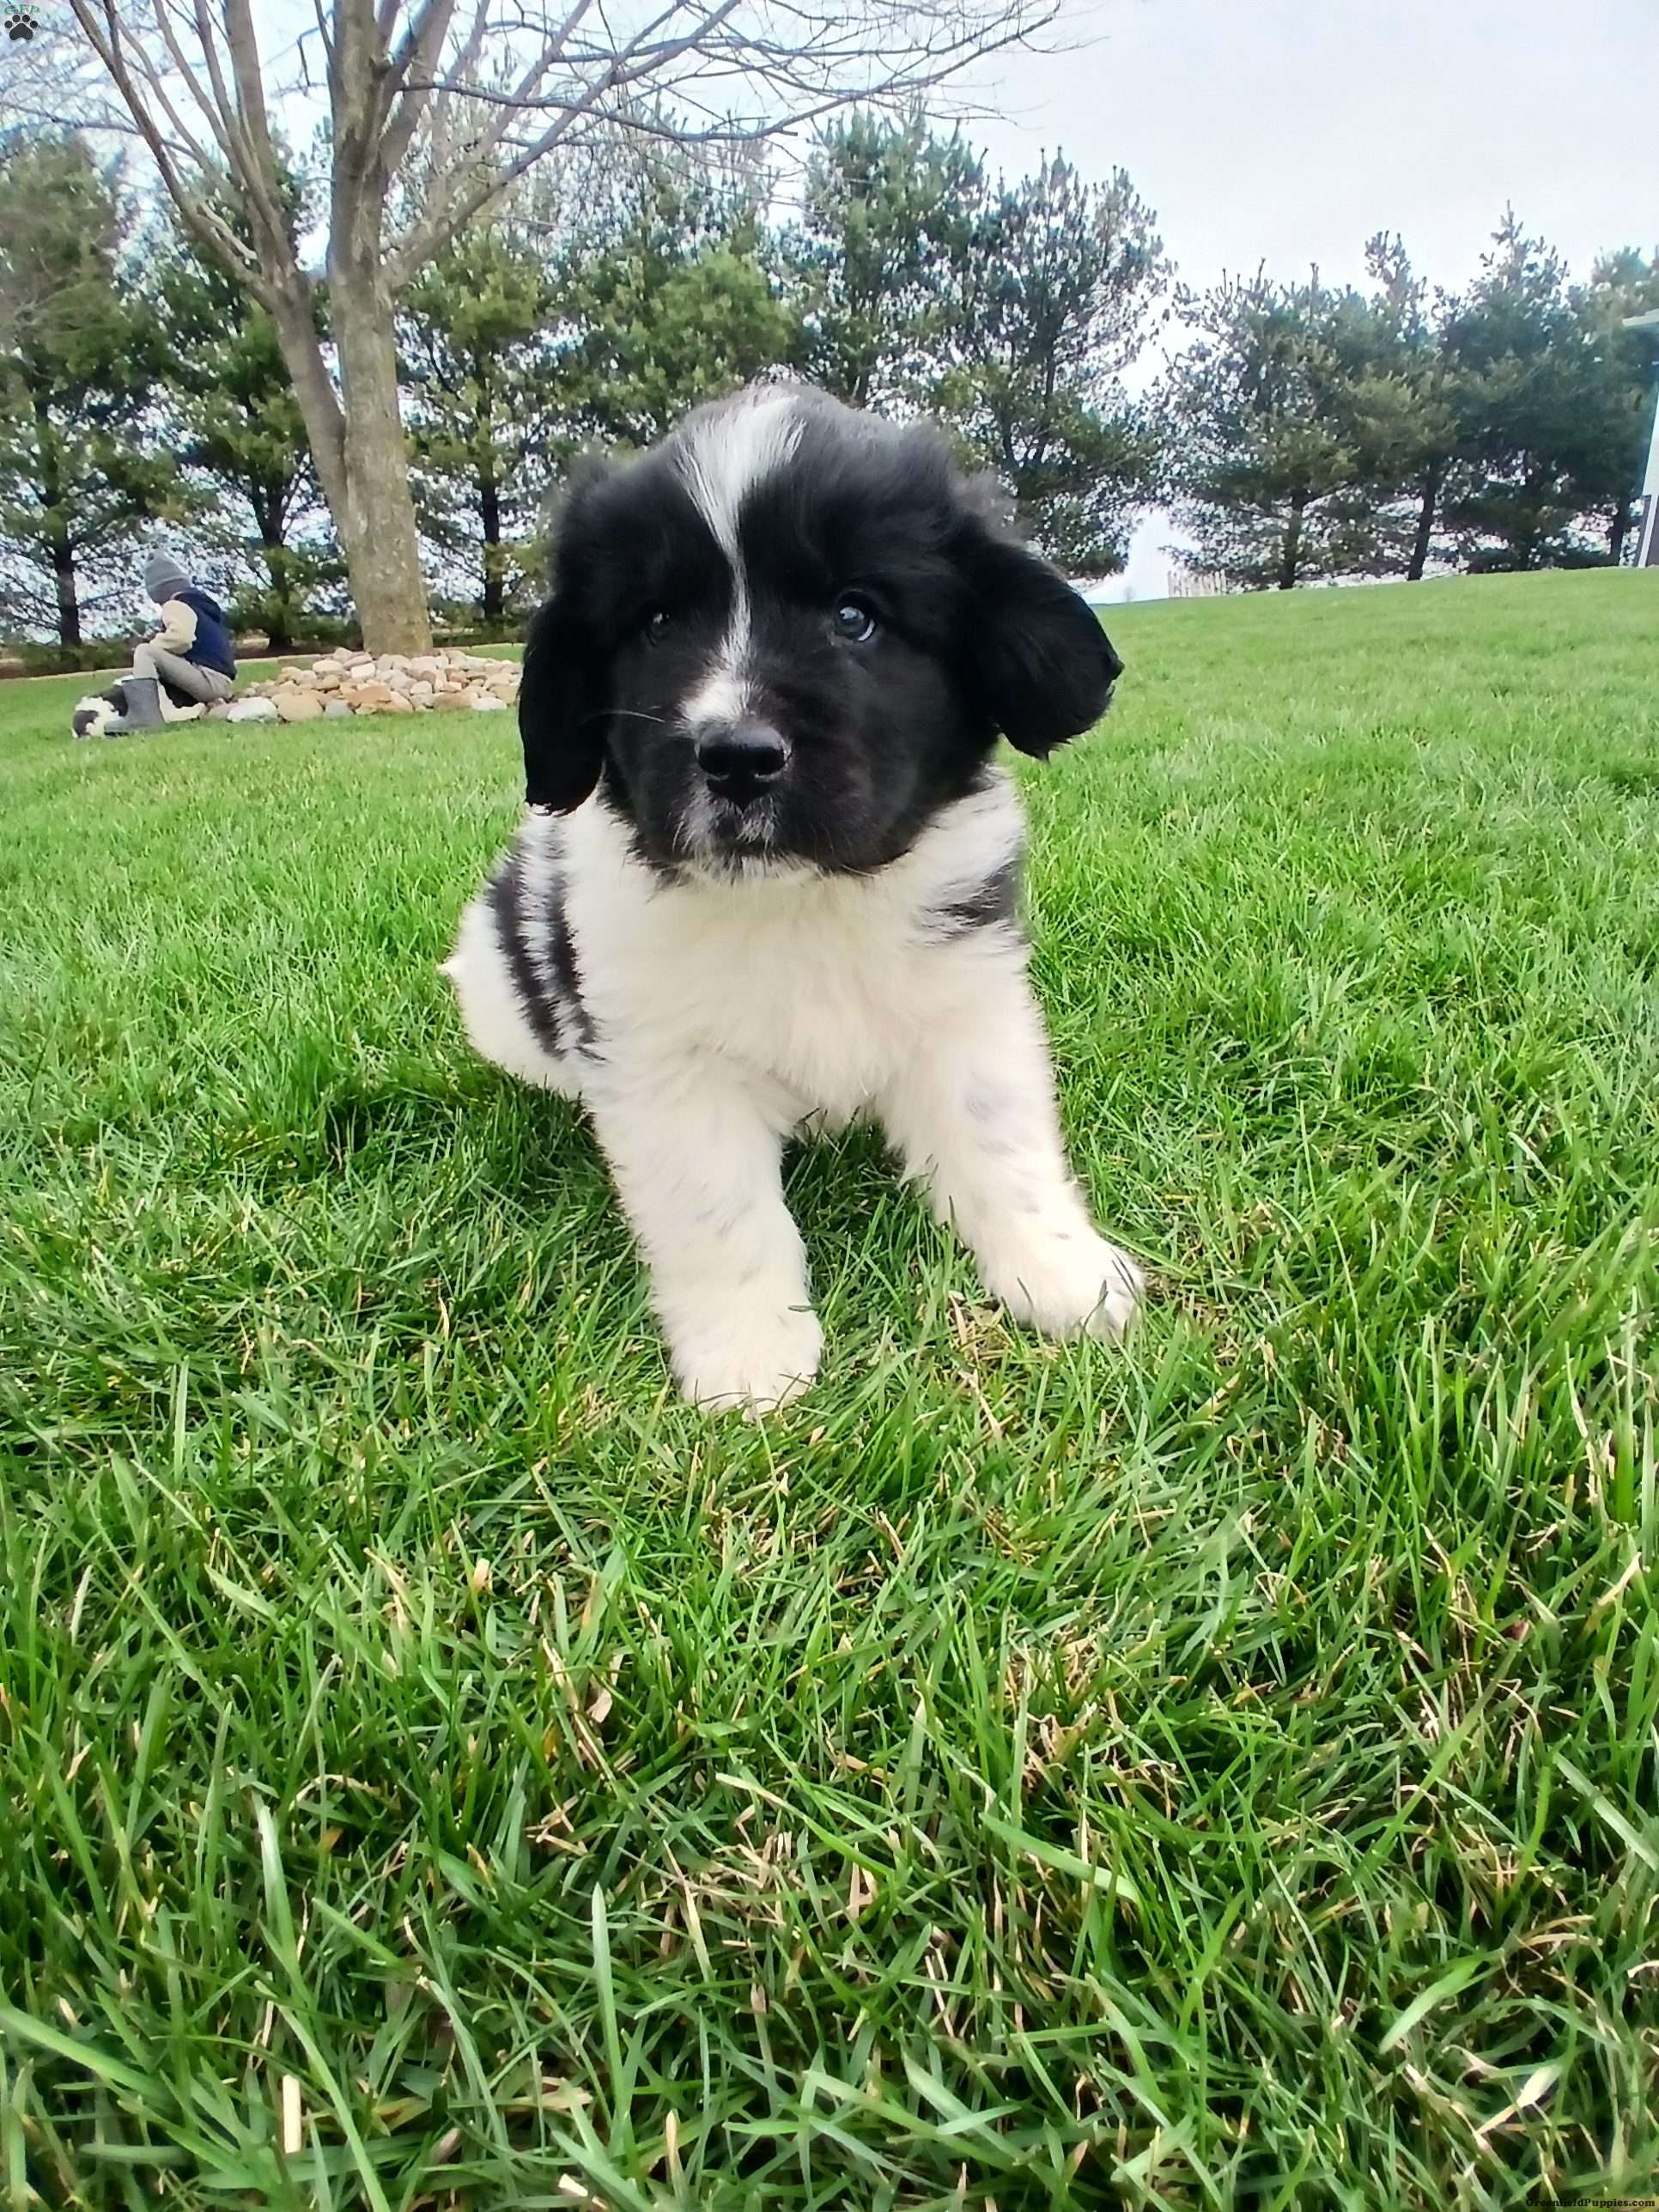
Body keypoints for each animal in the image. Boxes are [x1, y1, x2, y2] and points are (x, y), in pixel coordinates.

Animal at [445, 383, 1143, 1410]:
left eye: (855, 616)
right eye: (657, 622)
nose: (735, 755)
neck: (800, 902)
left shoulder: (967, 998)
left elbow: (1000, 1136)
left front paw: (1060, 1268)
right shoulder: (664, 1059)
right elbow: (719, 1206)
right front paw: (747, 1351)